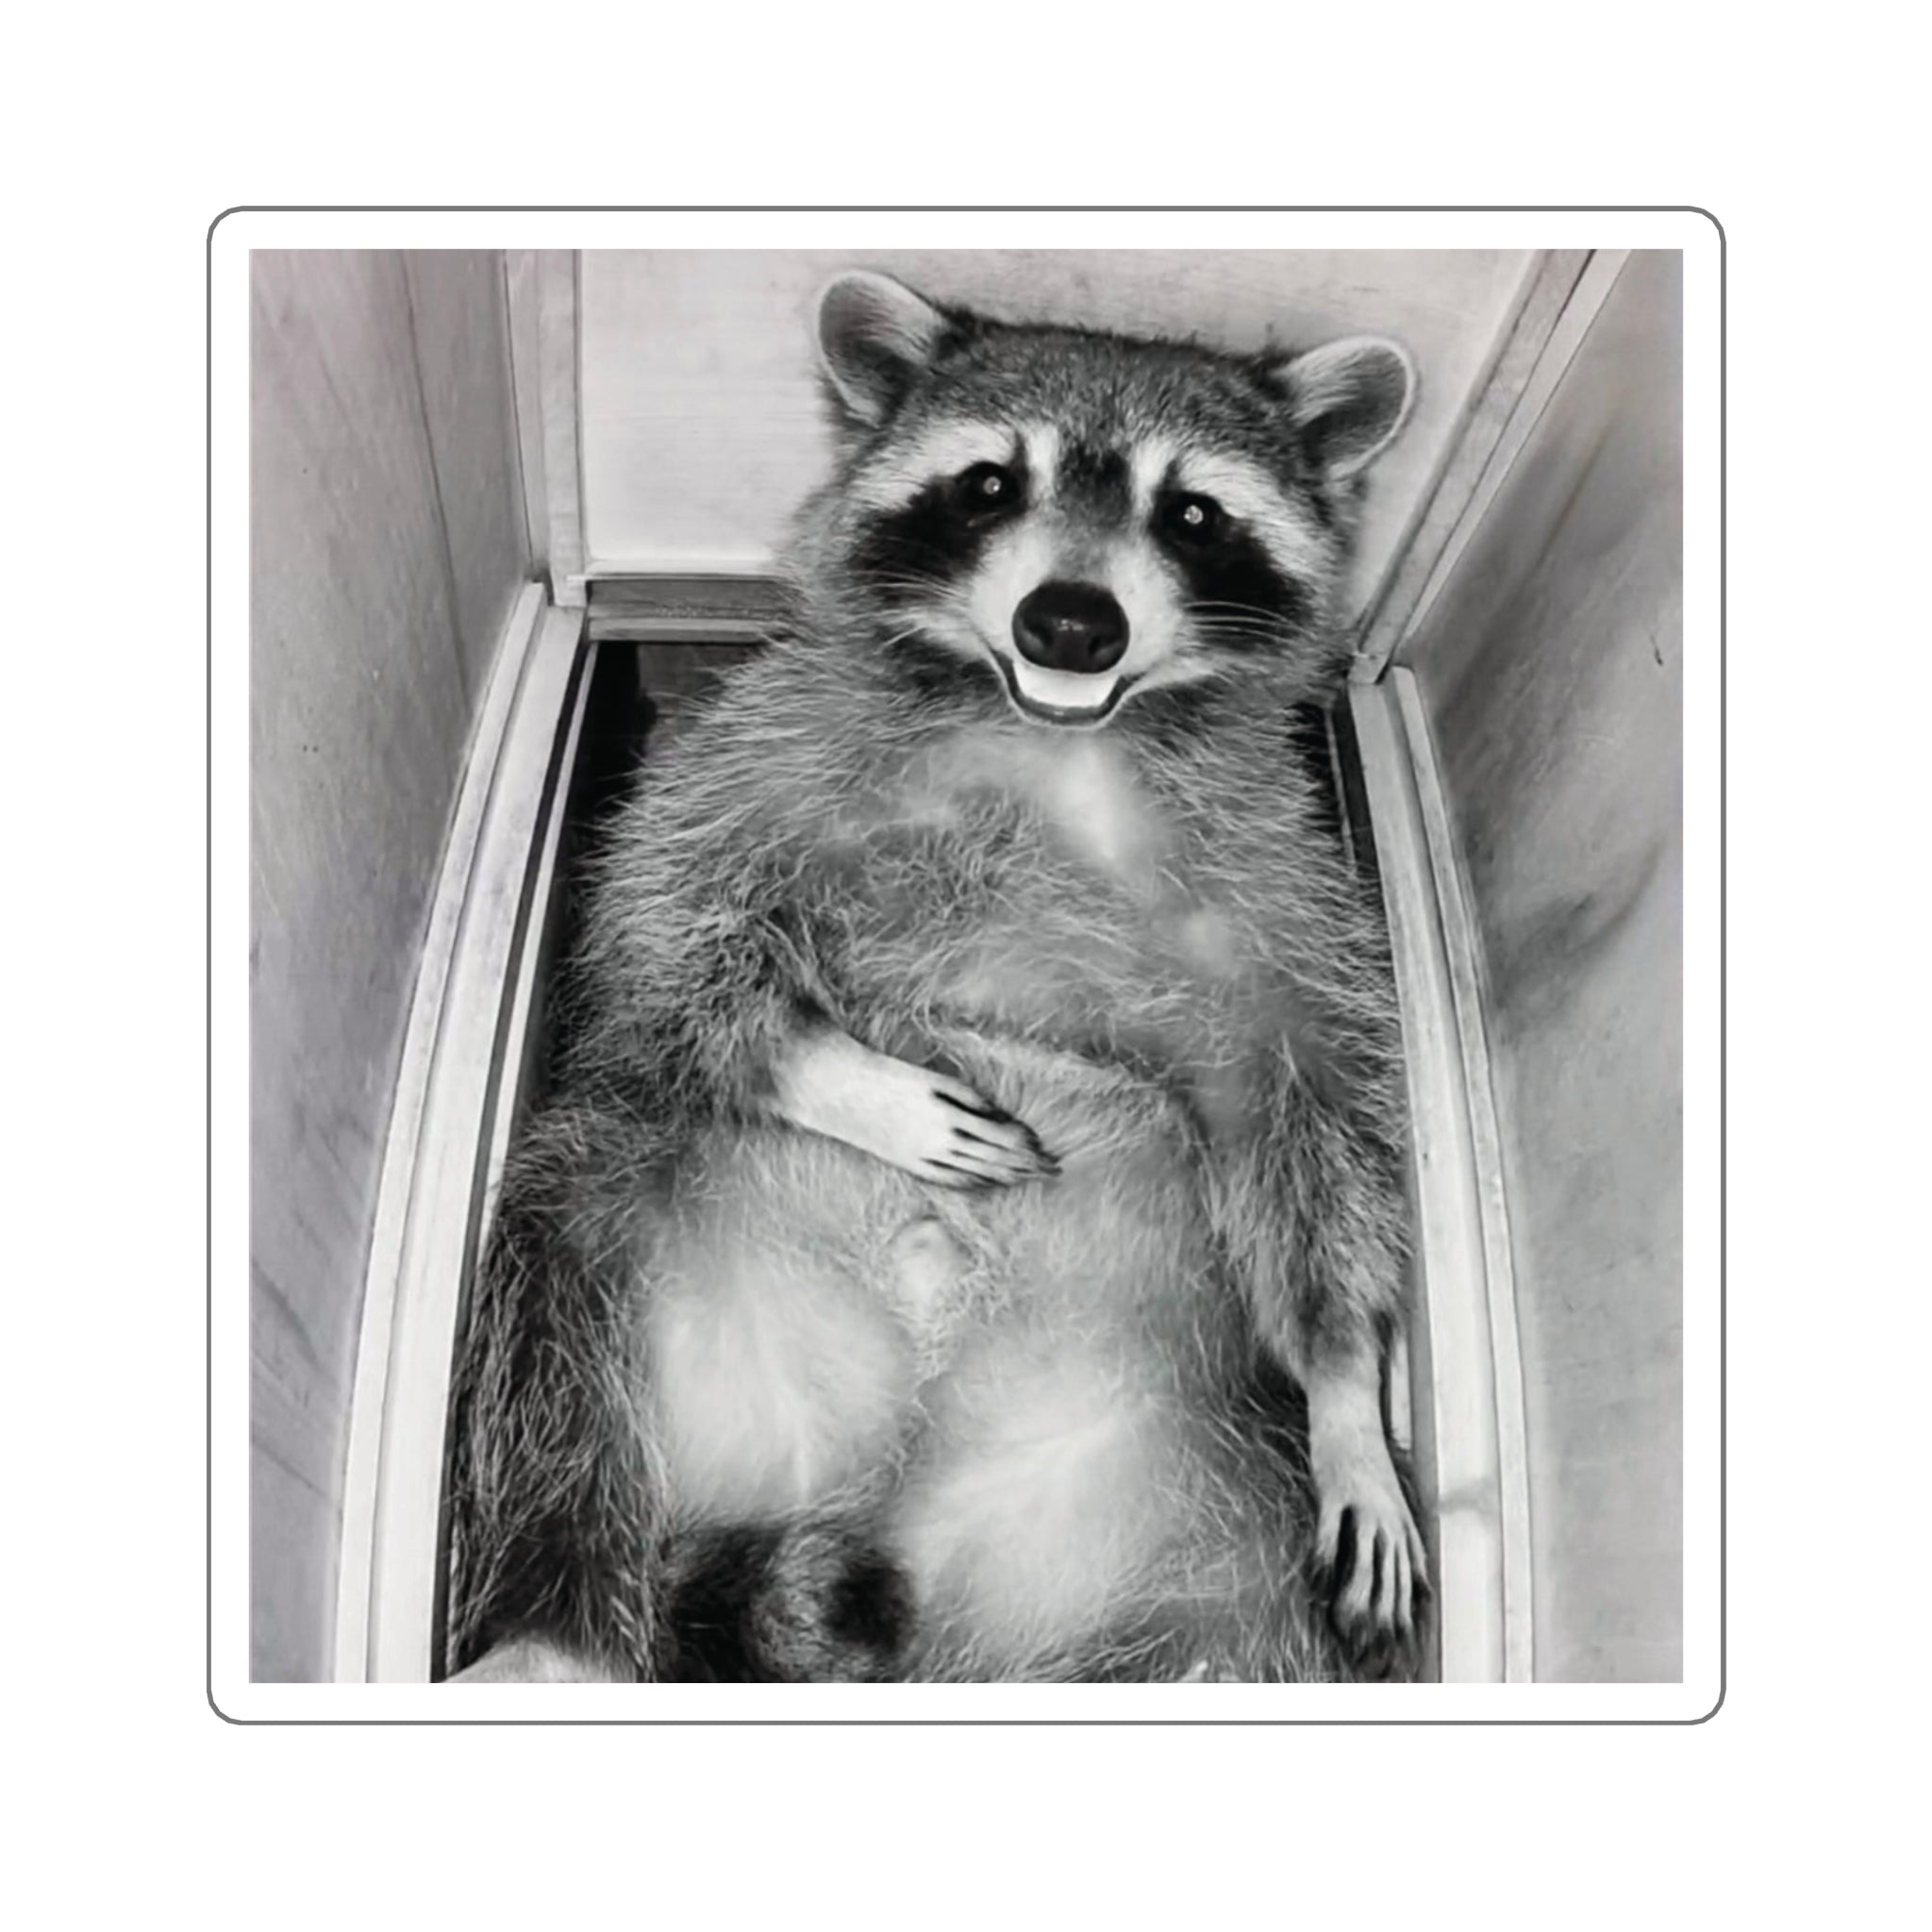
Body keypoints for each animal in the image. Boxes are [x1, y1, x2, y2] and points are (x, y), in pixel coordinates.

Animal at [445, 270, 1427, 1684]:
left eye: (1190, 511)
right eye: (989, 484)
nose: (1070, 623)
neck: (1055, 735)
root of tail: (886, 1491)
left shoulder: (1284, 881)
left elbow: (1315, 1114)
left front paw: (1348, 1380)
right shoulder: (765, 741)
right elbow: (659, 930)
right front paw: (840, 1072)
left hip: (1198, 1483)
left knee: (1244, 1628)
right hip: (650, 1241)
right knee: (558, 1295)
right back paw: (549, 1622)